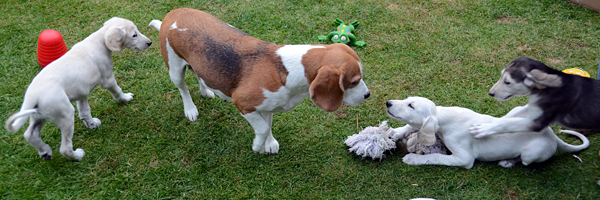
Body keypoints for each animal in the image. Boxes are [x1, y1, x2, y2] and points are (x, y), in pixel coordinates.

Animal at [4, 16, 152, 161]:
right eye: (134, 35)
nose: (150, 43)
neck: (99, 42)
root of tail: (32, 95)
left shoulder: (81, 93)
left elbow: (85, 111)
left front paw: (92, 124)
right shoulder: (108, 79)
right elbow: (117, 91)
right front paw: (125, 98)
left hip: (39, 116)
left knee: (30, 134)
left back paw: (45, 151)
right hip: (66, 114)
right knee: (64, 148)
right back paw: (77, 156)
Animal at [148, 8, 368, 154]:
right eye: (354, 81)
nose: (367, 95)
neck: (287, 71)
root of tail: (172, 14)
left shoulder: (267, 106)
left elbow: (267, 125)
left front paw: (268, 144)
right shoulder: (243, 103)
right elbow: (262, 127)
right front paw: (257, 145)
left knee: (199, 75)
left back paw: (206, 91)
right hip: (175, 69)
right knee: (183, 88)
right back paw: (190, 109)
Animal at [468, 56, 600, 138]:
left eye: (507, 82)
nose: (491, 93)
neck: (545, 89)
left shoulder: (536, 122)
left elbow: (507, 124)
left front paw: (484, 129)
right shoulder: (534, 106)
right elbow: (509, 117)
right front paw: (490, 122)